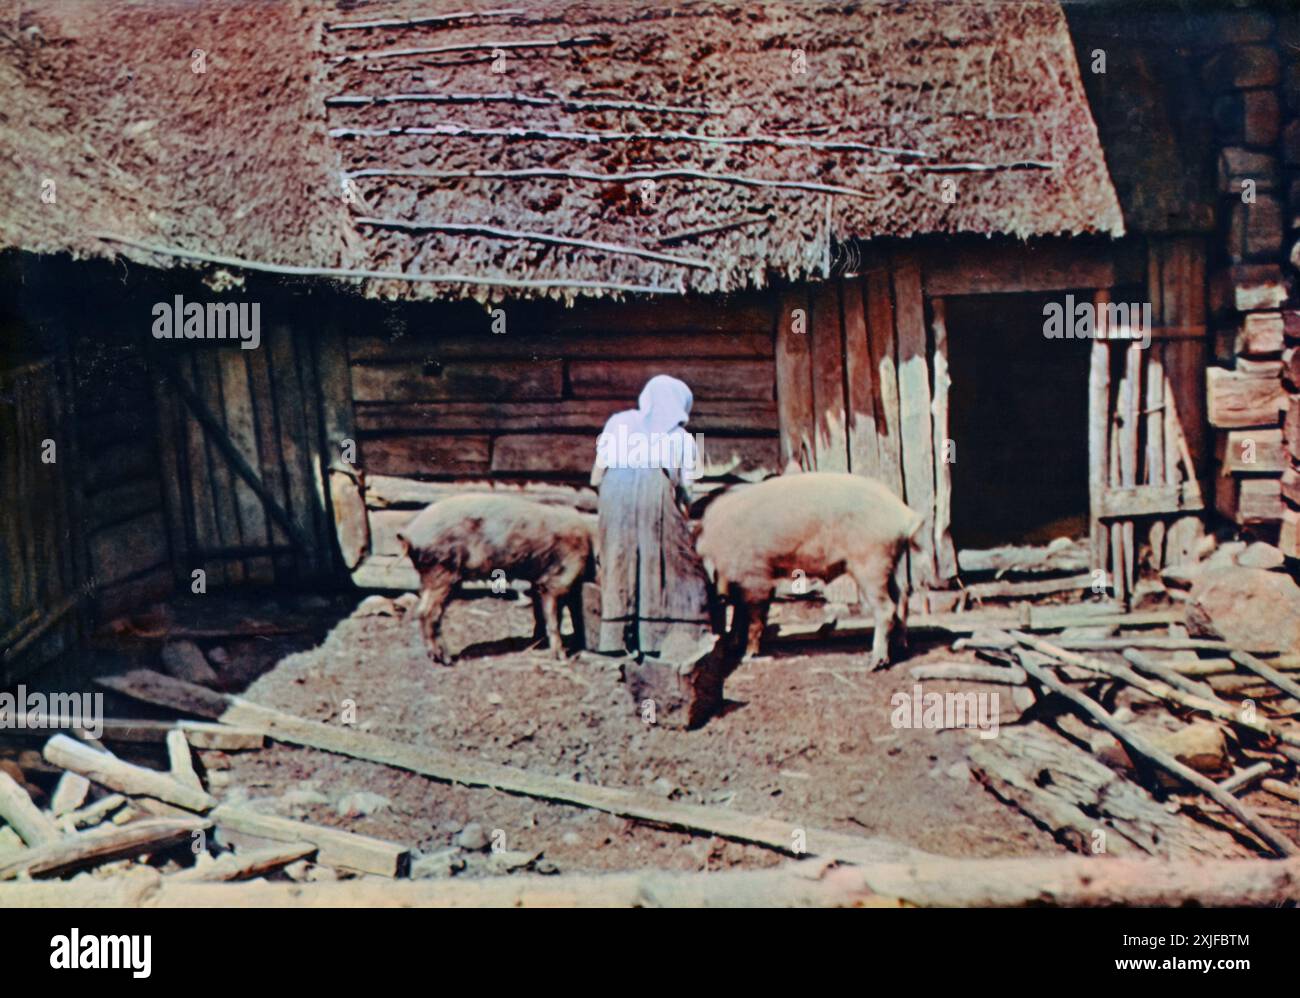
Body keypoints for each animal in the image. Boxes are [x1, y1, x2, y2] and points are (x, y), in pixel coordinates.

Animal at [397, 493, 595, 665]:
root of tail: (409, 533)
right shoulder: (559, 577)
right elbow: (554, 617)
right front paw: (562, 657)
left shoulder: (542, 581)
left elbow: (545, 613)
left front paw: (538, 643)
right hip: (442, 570)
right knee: (429, 613)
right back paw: (447, 659)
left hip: (430, 576)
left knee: (421, 609)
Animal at [696, 473, 920, 665]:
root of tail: (905, 515)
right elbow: (740, 613)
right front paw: (734, 646)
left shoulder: (756, 575)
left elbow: (754, 617)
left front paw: (747, 655)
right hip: (890, 561)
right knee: (902, 596)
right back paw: (899, 648)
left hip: (871, 562)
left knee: (886, 608)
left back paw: (874, 663)